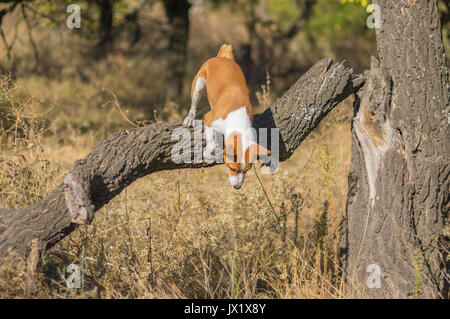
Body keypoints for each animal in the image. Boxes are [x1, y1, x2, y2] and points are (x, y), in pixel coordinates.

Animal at [184, 43, 270, 189]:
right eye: (232, 168)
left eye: (246, 170)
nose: (237, 187)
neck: (238, 119)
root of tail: (222, 58)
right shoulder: (209, 119)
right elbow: (212, 142)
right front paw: (208, 152)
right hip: (198, 84)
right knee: (194, 105)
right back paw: (190, 118)